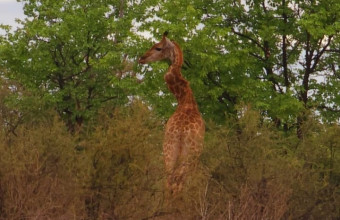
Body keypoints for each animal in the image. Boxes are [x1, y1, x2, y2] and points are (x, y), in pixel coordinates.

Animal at [138, 31, 205, 194]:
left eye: (158, 47)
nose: (141, 58)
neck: (185, 100)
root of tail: (181, 132)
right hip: (189, 155)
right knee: (178, 183)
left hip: (168, 149)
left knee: (168, 182)